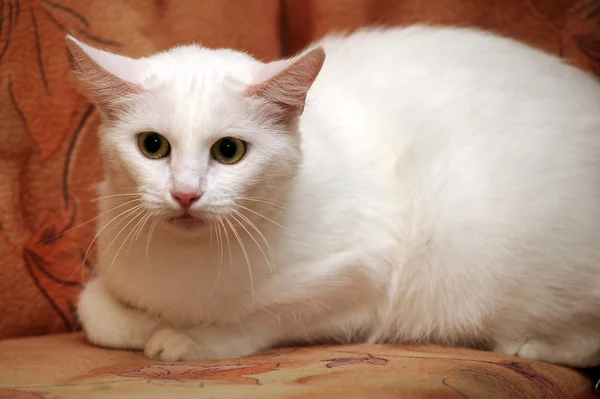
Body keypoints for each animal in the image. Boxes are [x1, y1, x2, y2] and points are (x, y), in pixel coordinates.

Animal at [70, 25, 600, 368]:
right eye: (152, 146)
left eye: (229, 151)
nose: (185, 193)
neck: (185, 268)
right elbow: (93, 310)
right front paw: (147, 327)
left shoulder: (360, 281)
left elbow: (262, 318)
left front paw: (188, 339)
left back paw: (527, 347)